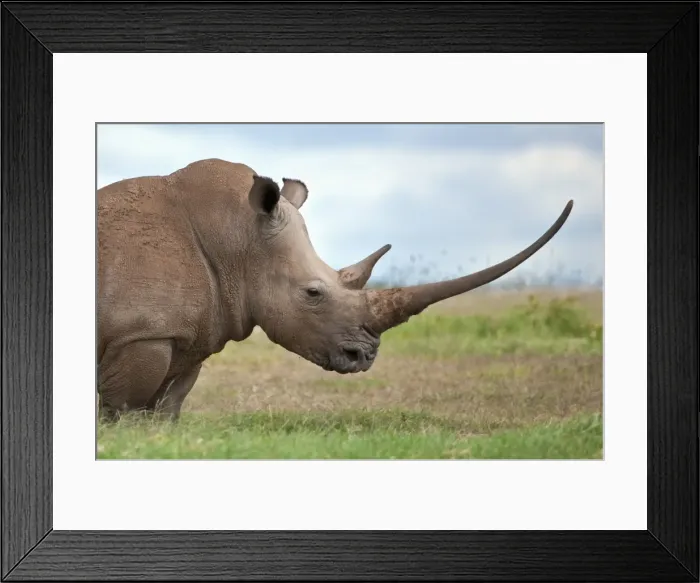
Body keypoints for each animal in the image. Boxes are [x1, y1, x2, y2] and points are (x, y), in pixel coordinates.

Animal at [97, 158, 573, 420]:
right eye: (313, 293)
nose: (364, 357)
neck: (237, 240)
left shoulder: (190, 333)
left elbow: (166, 408)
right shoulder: (141, 333)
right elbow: (121, 409)